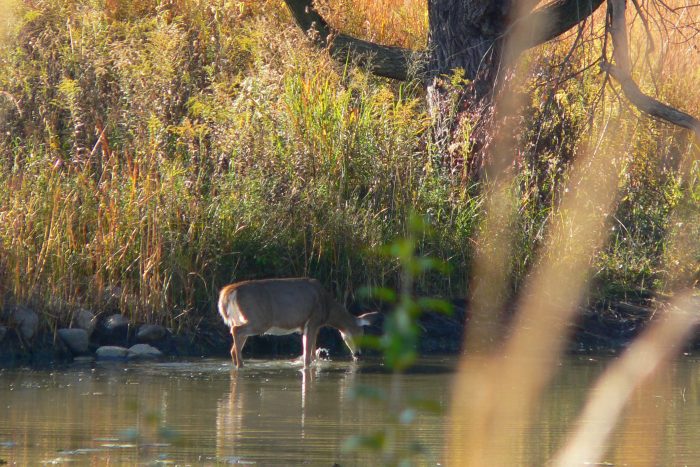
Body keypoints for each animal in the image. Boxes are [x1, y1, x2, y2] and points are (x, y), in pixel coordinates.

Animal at [220, 278, 380, 370]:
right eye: (361, 334)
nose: (358, 353)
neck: (328, 309)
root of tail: (228, 293)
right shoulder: (313, 320)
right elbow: (307, 356)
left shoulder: (311, 325)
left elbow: (312, 353)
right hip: (259, 320)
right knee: (236, 331)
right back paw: (241, 365)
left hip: (241, 318)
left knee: (234, 344)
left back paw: (237, 364)